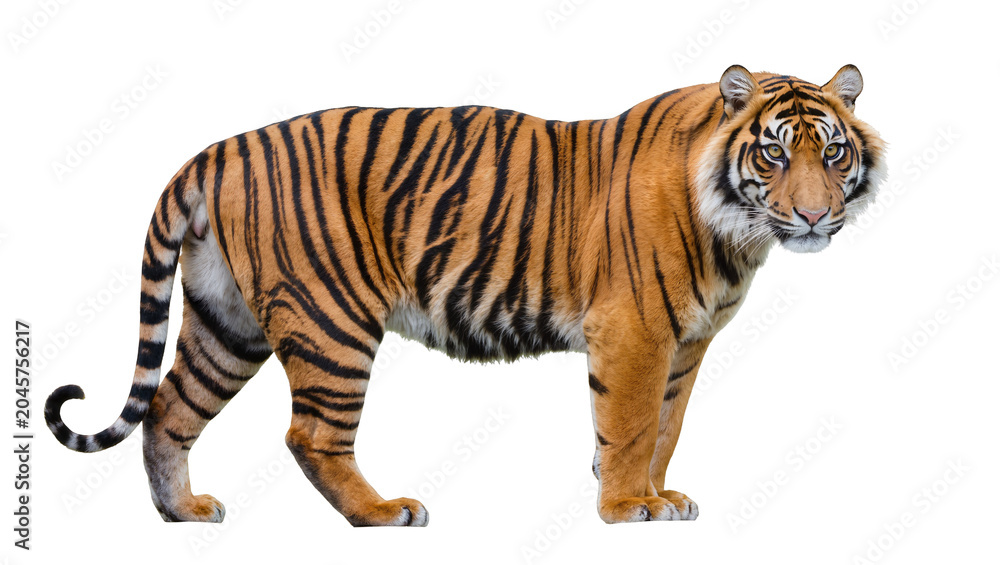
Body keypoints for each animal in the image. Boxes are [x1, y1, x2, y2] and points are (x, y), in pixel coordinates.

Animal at [45, 64, 886, 526]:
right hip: (330, 319)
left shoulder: (686, 341)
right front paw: (625, 507)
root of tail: (217, 150)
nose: (815, 215)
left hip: (229, 322)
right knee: (309, 434)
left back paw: (182, 512)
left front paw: (658, 494)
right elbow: (627, 425)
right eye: (773, 152)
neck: (736, 234)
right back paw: (384, 513)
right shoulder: (636, 330)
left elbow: (664, 427)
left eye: (833, 152)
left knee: (168, 409)